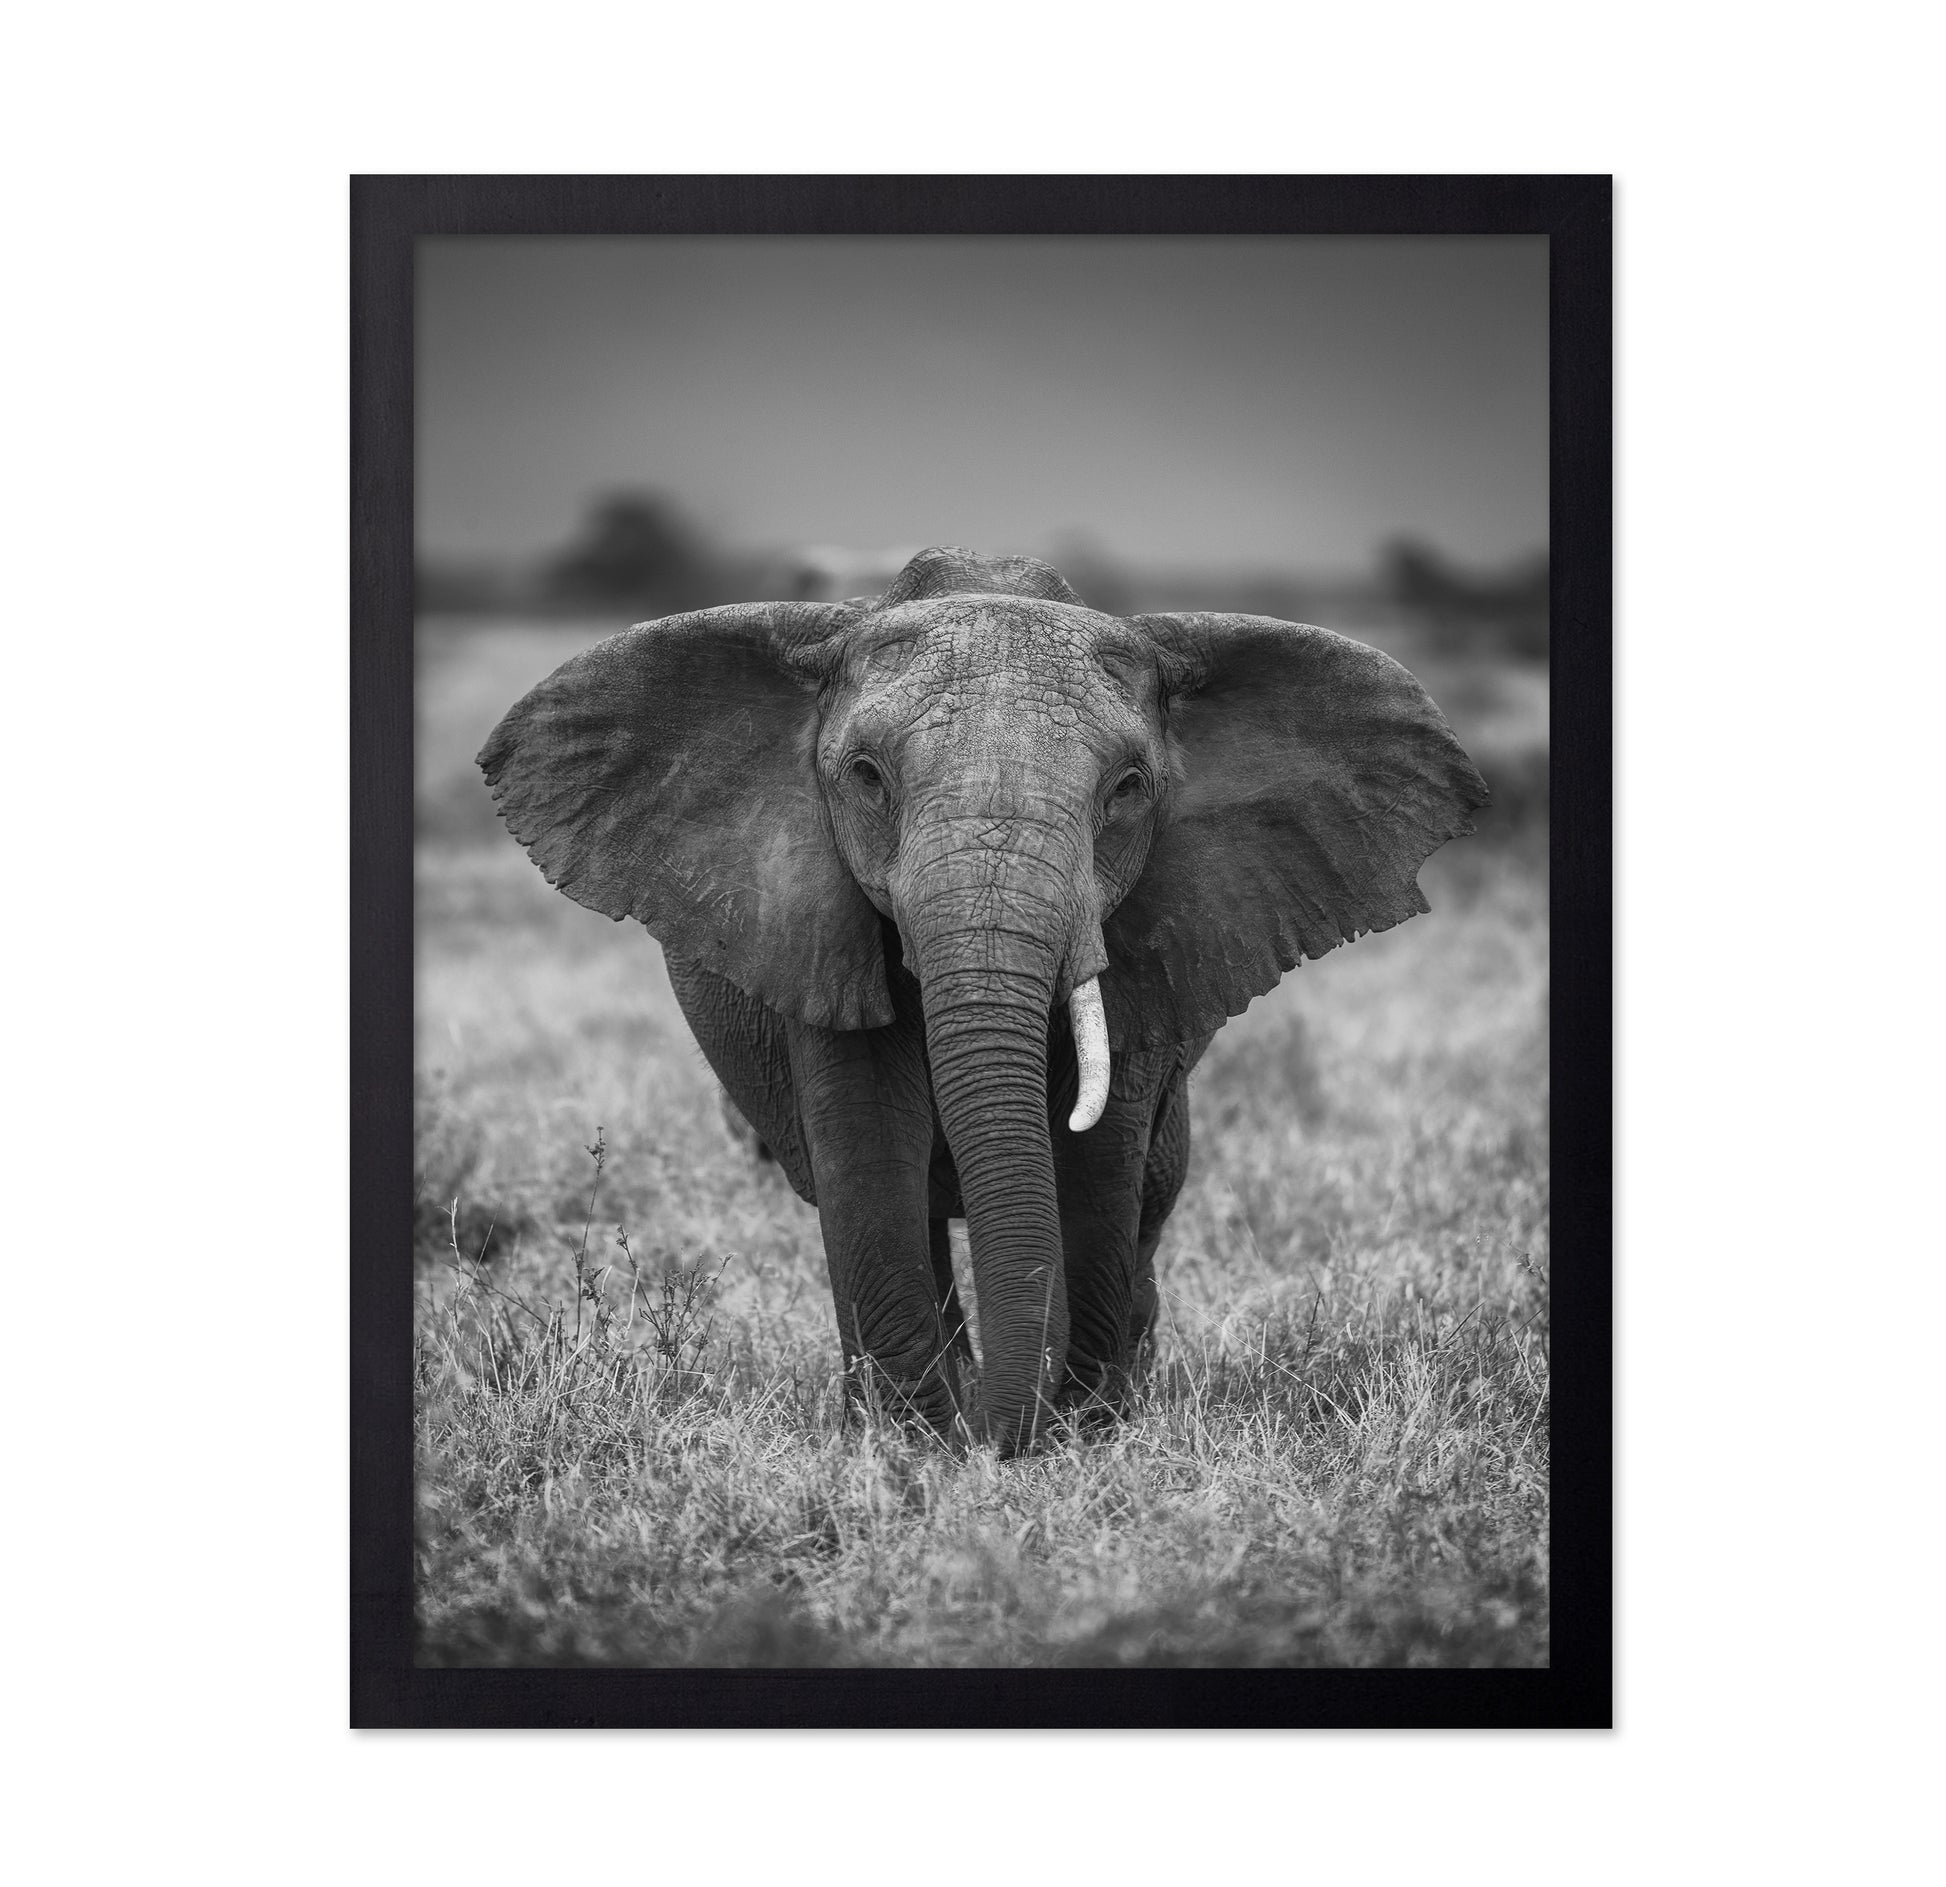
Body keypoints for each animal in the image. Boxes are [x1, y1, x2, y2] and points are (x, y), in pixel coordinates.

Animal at [479, 545, 1488, 1454]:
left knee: (1154, 1191)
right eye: (866, 777)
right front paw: (915, 1445)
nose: (1004, 1439)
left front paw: (1077, 1433)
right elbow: (868, 1144)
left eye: (1128, 789)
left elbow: (1099, 1158)